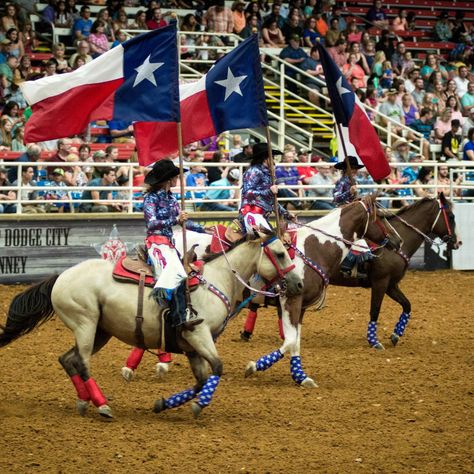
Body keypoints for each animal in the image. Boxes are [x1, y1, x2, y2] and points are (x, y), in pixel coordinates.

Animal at [0, 232, 302, 418]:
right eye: (280, 253)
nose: (298, 284)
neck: (216, 280)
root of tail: (60, 276)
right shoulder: (199, 334)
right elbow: (216, 368)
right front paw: (199, 406)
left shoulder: (192, 346)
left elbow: (201, 379)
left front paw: (163, 404)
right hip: (86, 324)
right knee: (82, 362)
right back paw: (102, 405)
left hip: (100, 331)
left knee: (68, 359)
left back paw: (84, 401)